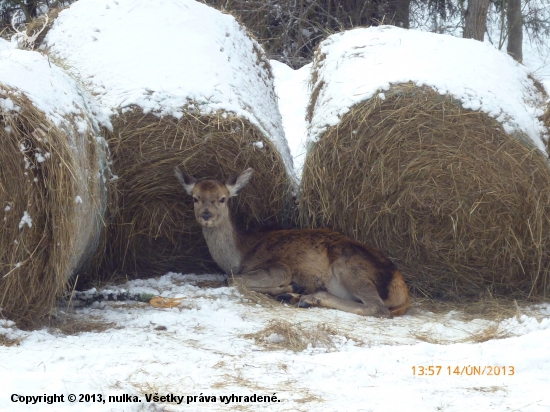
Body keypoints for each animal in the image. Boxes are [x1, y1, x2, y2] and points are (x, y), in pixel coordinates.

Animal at [175, 166, 412, 318]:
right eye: (195, 198)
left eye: (222, 199)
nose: (206, 214)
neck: (242, 254)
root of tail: (403, 291)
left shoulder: (280, 267)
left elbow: (232, 280)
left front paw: (290, 286)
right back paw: (296, 297)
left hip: (349, 266)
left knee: (378, 308)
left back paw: (308, 296)